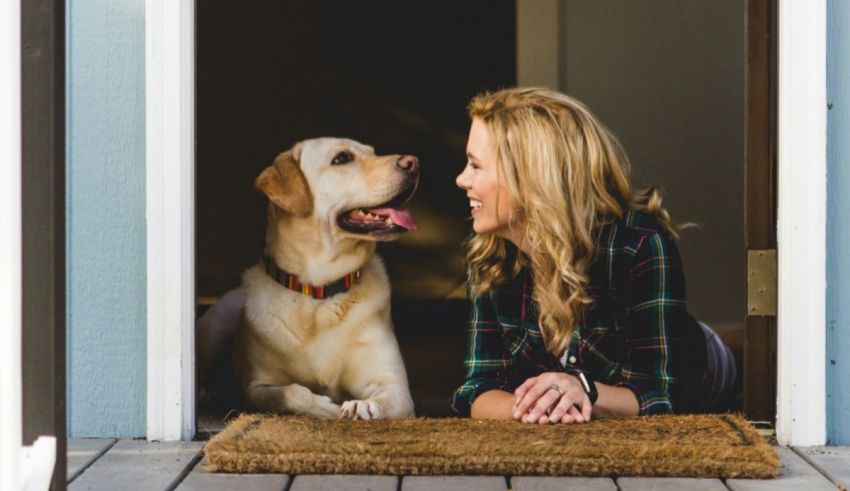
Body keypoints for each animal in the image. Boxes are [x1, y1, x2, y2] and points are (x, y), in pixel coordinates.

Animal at [202, 137, 420, 418]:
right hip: (217, 323)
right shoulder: (255, 387)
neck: (319, 294)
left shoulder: (395, 388)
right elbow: (290, 393)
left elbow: (382, 399)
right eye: (342, 158)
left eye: (373, 152)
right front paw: (321, 407)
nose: (413, 162)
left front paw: (362, 406)